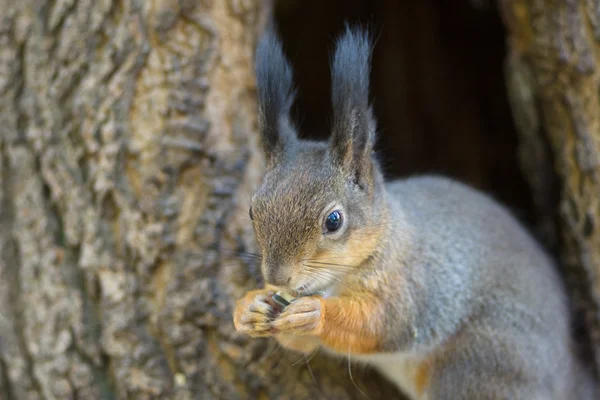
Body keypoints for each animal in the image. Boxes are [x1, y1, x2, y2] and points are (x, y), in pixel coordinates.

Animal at [232, 25, 596, 400]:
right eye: (252, 210)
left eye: (333, 221)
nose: (277, 277)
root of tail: (567, 373)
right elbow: (298, 343)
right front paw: (248, 307)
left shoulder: (413, 284)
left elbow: (381, 322)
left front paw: (315, 314)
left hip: (484, 365)